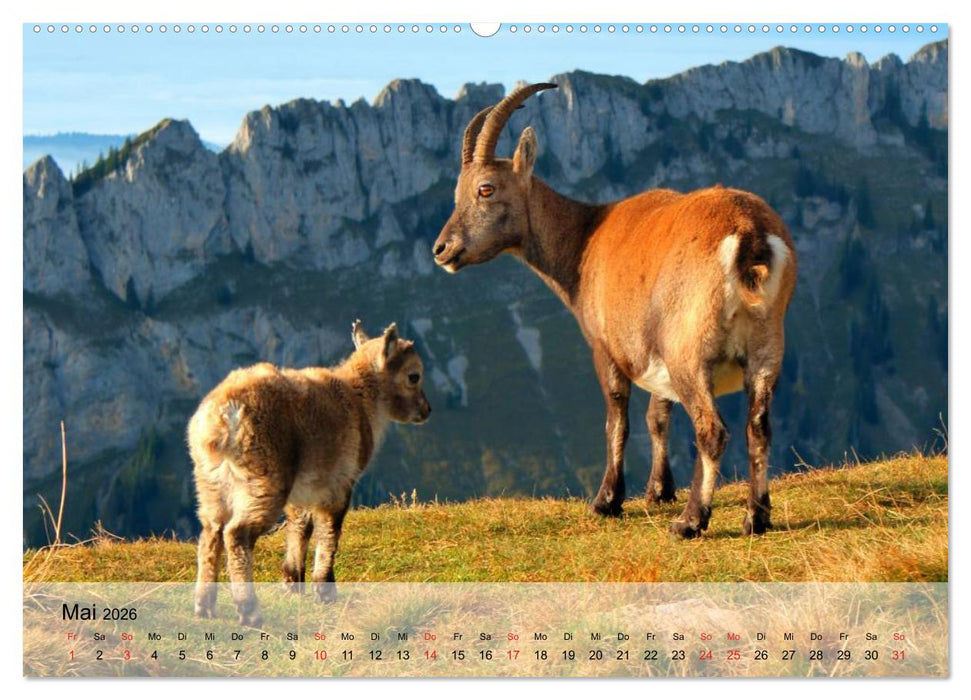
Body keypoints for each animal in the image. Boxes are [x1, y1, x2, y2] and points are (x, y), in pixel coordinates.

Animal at [190, 321, 431, 626]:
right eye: (414, 376)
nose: (426, 411)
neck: (361, 400)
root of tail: (224, 416)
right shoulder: (338, 484)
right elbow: (329, 531)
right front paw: (325, 590)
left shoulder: (304, 489)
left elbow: (300, 527)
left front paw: (292, 582)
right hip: (264, 480)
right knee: (236, 533)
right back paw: (249, 611)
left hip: (211, 482)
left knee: (211, 531)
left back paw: (204, 606)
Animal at [432, 83, 796, 538]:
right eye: (457, 194)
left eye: (485, 188)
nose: (442, 249)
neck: (584, 241)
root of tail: (750, 237)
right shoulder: (652, 351)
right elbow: (657, 415)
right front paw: (658, 490)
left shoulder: (606, 347)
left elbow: (617, 419)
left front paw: (607, 501)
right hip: (767, 346)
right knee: (758, 426)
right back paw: (756, 517)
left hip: (690, 349)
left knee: (712, 430)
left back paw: (691, 521)